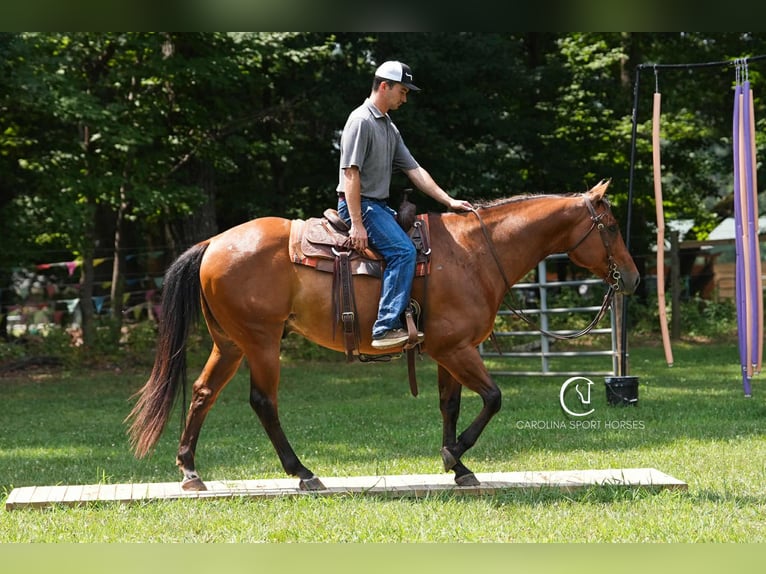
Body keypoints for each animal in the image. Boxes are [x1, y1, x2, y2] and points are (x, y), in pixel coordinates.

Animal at [126, 179, 640, 491]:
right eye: (612, 226)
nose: (633, 279)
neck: (474, 252)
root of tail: (214, 241)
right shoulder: (456, 349)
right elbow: (493, 398)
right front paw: (455, 456)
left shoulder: (450, 351)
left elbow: (450, 405)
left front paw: (458, 466)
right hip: (261, 342)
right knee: (262, 402)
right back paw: (302, 472)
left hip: (230, 343)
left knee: (202, 392)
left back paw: (191, 471)